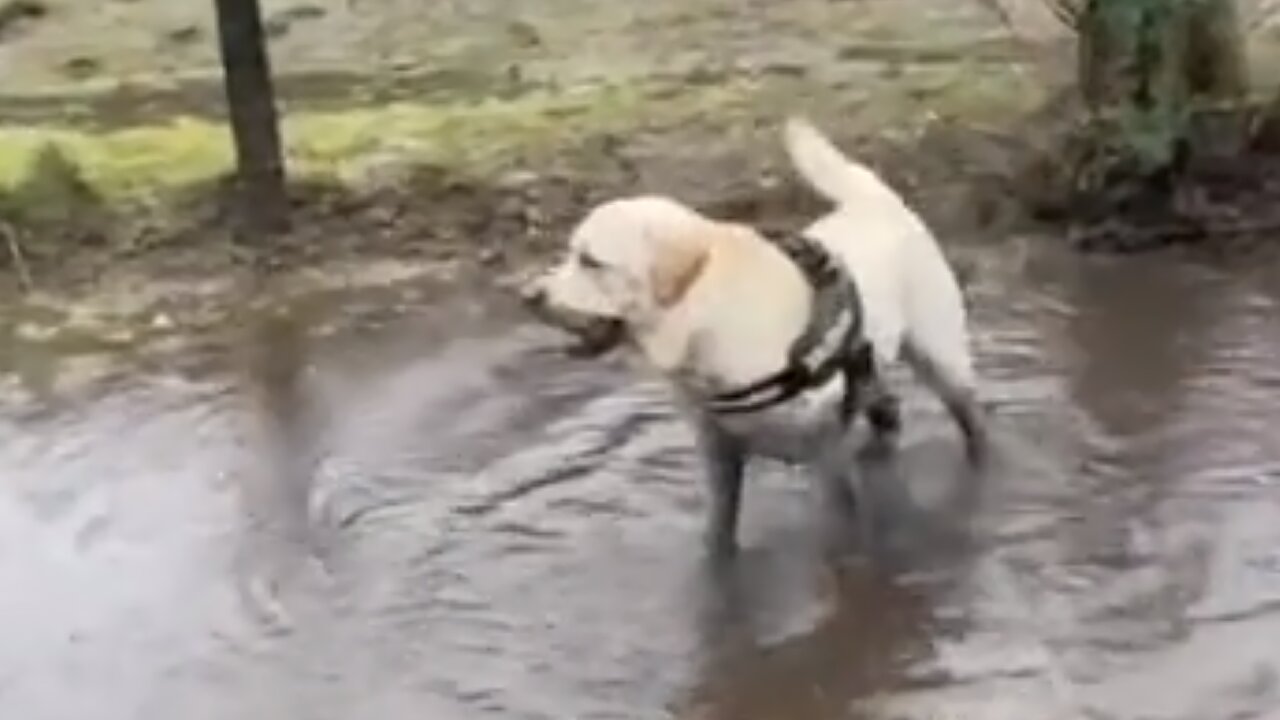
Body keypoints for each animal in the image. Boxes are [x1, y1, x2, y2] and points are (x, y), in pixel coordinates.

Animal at [524, 117, 983, 556]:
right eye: (570, 254)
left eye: (591, 261)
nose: (527, 295)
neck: (708, 331)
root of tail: (876, 201)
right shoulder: (719, 456)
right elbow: (718, 538)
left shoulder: (825, 458)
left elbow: (840, 536)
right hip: (871, 370)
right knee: (887, 413)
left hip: (943, 360)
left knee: (971, 422)